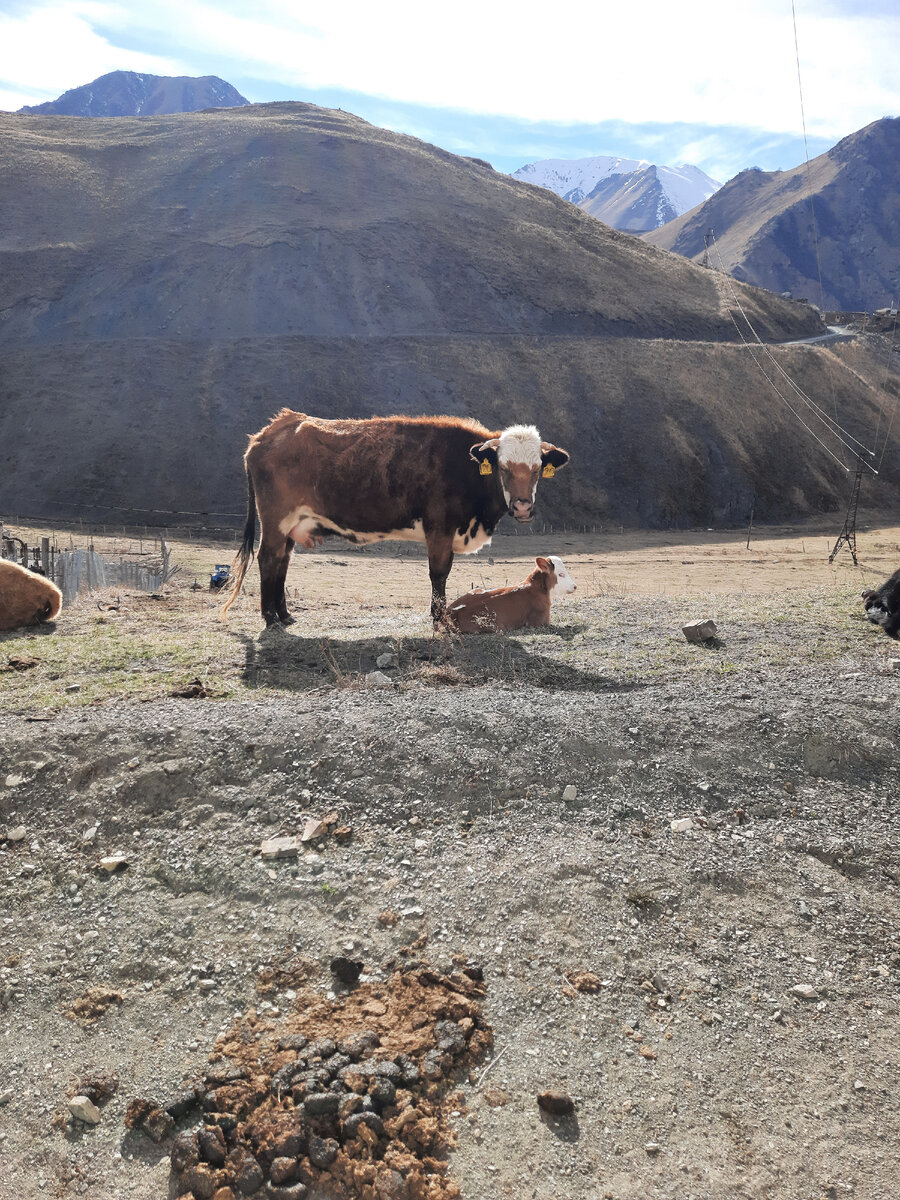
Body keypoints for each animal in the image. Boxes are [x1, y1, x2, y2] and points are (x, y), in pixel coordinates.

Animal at [223, 410, 571, 624]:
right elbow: (438, 574)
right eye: (502, 467)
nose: (523, 507)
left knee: (282, 561)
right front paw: (438, 617)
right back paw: (270, 618)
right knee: (269, 559)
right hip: (276, 520)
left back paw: (284, 615)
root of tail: (273, 429)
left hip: (292, 525)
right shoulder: (439, 529)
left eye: (537, 469)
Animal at [446, 552, 578, 633]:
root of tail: (451, 611)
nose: (575, 586)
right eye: (561, 574)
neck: (536, 587)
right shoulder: (540, 621)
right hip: (495, 626)